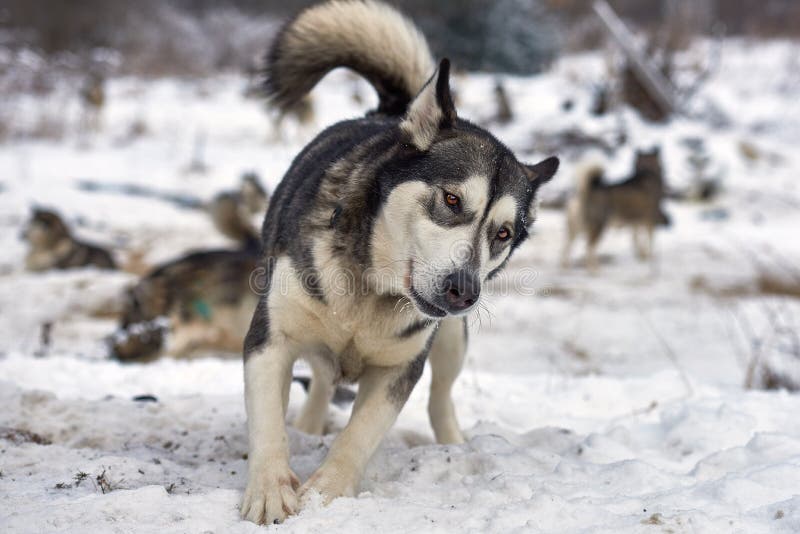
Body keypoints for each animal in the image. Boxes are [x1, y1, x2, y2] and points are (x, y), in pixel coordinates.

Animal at [241, 0, 560, 524]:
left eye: (503, 234)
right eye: (451, 200)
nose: (463, 290)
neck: (369, 293)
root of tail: (387, 113)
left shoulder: (399, 367)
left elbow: (360, 435)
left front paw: (328, 493)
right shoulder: (272, 338)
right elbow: (267, 424)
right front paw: (269, 490)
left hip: (451, 342)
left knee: (440, 397)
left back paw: (453, 445)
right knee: (323, 379)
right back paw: (309, 425)